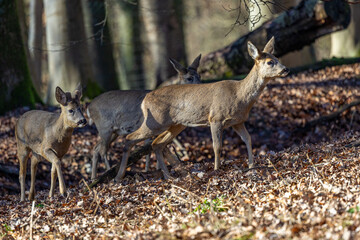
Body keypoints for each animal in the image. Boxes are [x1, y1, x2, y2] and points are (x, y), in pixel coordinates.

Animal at [118, 37, 290, 180]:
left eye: (277, 58)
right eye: (270, 62)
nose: (286, 69)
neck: (239, 95)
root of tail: (145, 100)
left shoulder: (237, 121)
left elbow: (248, 139)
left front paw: (252, 166)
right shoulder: (215, 118)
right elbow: (217, 146)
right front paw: (217, 169)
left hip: (176, 124)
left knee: (157, 143)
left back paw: (168, 176)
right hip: (156, 121)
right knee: (130, 138)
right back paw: (119, 177)